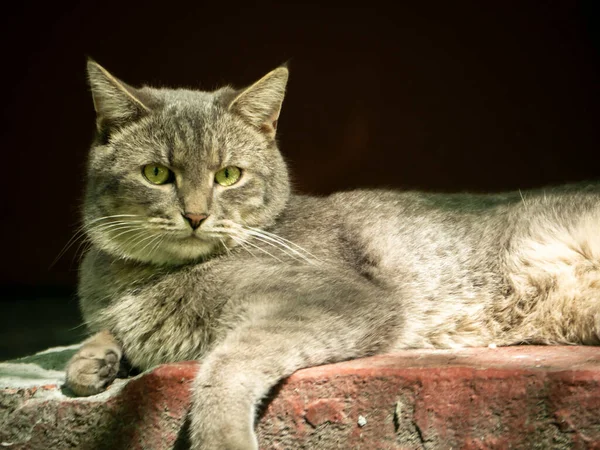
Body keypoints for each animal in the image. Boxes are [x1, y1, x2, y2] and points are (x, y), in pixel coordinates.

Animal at [64, 60, 600, 450]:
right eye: (156, 174)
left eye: (228, 175)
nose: (195, 215)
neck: (136, 277)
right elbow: (103, 342)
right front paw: (93, 360)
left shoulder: (338, 298)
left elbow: (227, 364)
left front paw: (221, 437)